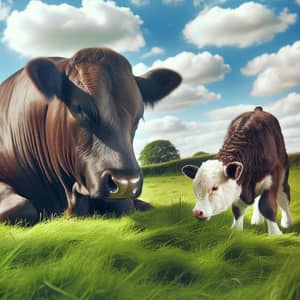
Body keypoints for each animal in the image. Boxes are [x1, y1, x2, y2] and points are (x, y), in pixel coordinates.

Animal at [182, 106, 292, 236]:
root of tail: (257, 109)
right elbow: (237, 208)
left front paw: (275, 234)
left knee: (283, 196)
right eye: (195, 188)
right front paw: (236, 230)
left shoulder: (273, 176)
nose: (197, 212)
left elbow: (267, 205)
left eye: (215, 188)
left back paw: (287, 222)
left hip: (284, 173)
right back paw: (257, 220)